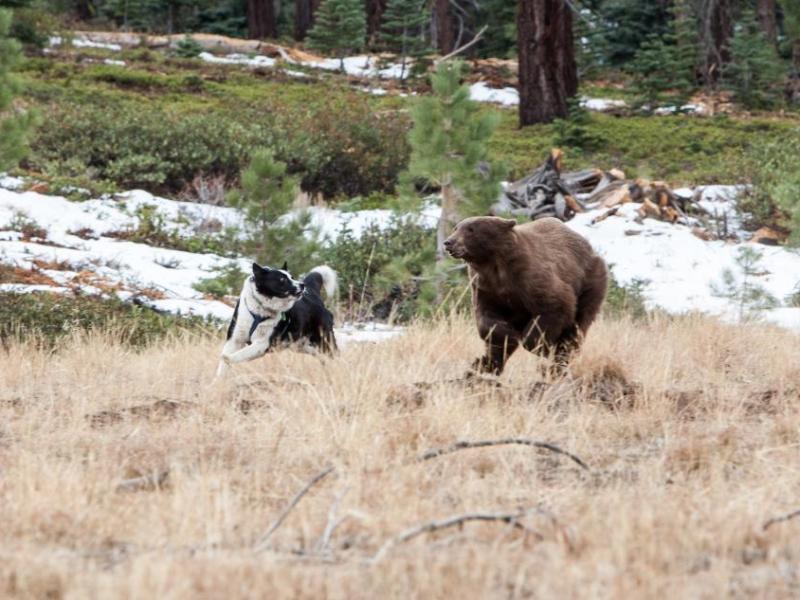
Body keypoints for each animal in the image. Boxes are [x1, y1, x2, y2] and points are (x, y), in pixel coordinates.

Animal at [444, 215, 607, 376]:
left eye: (471, 229)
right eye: (456, 228)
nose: (448, 242)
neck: (494, 265)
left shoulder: (529, 278)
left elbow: (554, 305)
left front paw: (540, 346)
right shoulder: (485, 286)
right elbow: (487, 319)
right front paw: (507, 336)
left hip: (589, 282)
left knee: (577, 326)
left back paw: (556, 363)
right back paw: (483, 365)